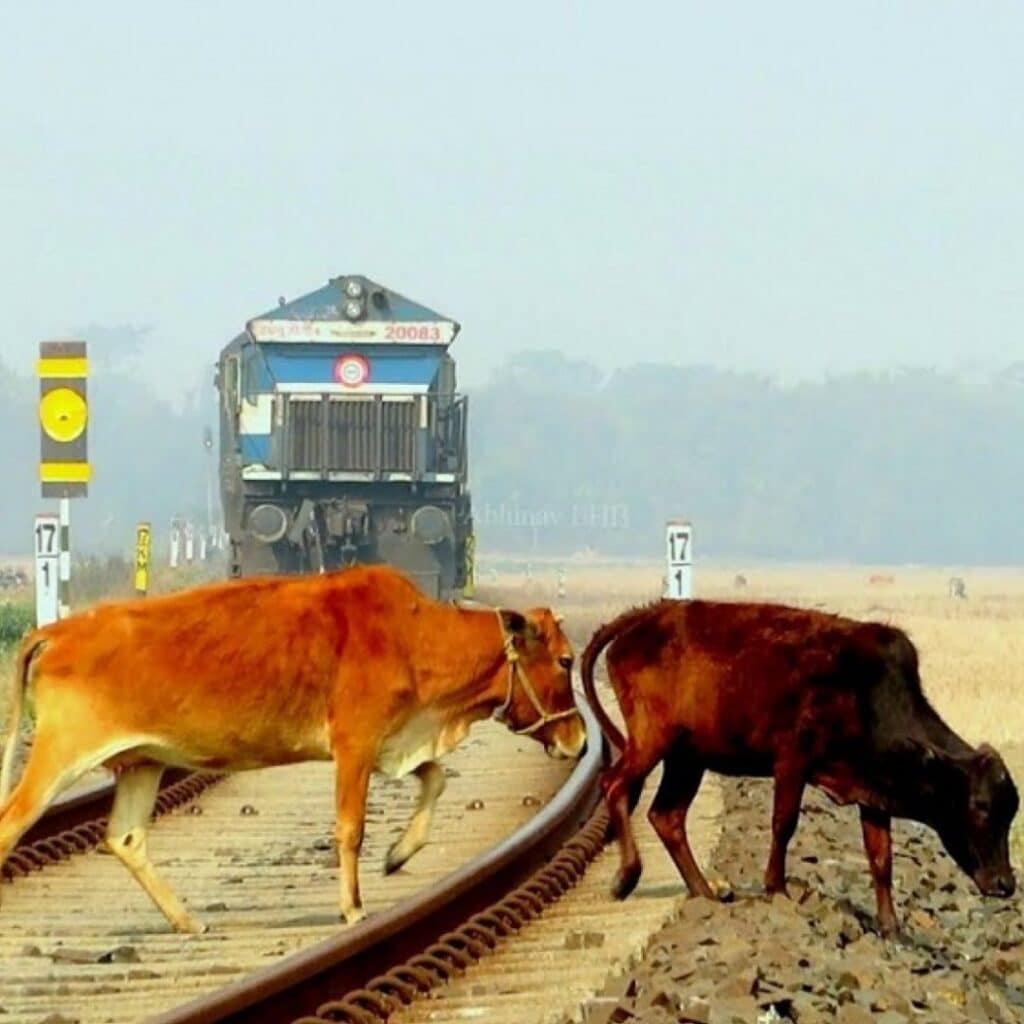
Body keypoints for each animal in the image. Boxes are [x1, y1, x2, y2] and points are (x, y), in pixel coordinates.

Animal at [0, 569, 585, 937]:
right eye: (565, 660)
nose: (580, 739)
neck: (415, 633)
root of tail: (56, 630)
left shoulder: (395, 741)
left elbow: (436, 778)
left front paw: (399, 854)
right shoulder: (355, 743)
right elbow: (350, 828)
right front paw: (353, 909)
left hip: (142, 761)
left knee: (125, 838)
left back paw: (188, 921)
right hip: (59, 754)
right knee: (11, 824)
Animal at [581, 598, 1019, 937]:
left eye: (1009, 812)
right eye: (980, 807)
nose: (1005, 883)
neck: (867, 692)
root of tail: (653, 613)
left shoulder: (872, 793)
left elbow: (881, 858)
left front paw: (891, 927)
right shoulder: (792, 760)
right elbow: (784, 824)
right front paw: (776, 887)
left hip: (687, 758)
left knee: (666, 816)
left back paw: (704, 892)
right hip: (651, 742)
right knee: (614, 785)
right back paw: (627, 876)